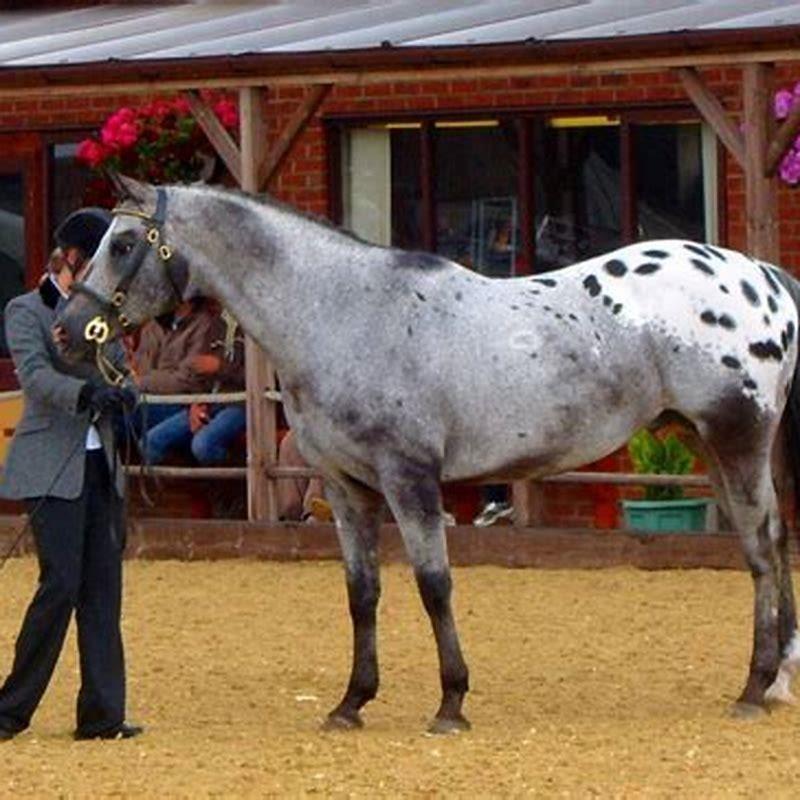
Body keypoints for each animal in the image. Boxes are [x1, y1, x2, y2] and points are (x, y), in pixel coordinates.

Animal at [56, 174, 800, 732]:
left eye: (125, 243)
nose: (68, 330)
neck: (343, 313)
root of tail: (761, 275)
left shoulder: (409, 478)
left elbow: (433, 584)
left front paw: (451, 702)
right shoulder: (346, 486)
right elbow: (362, 593)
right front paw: (351, 702)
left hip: (735, 438)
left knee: (761, 549)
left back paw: (753, 688)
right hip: (712, 444)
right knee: (771, 540)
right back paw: (777, 679)